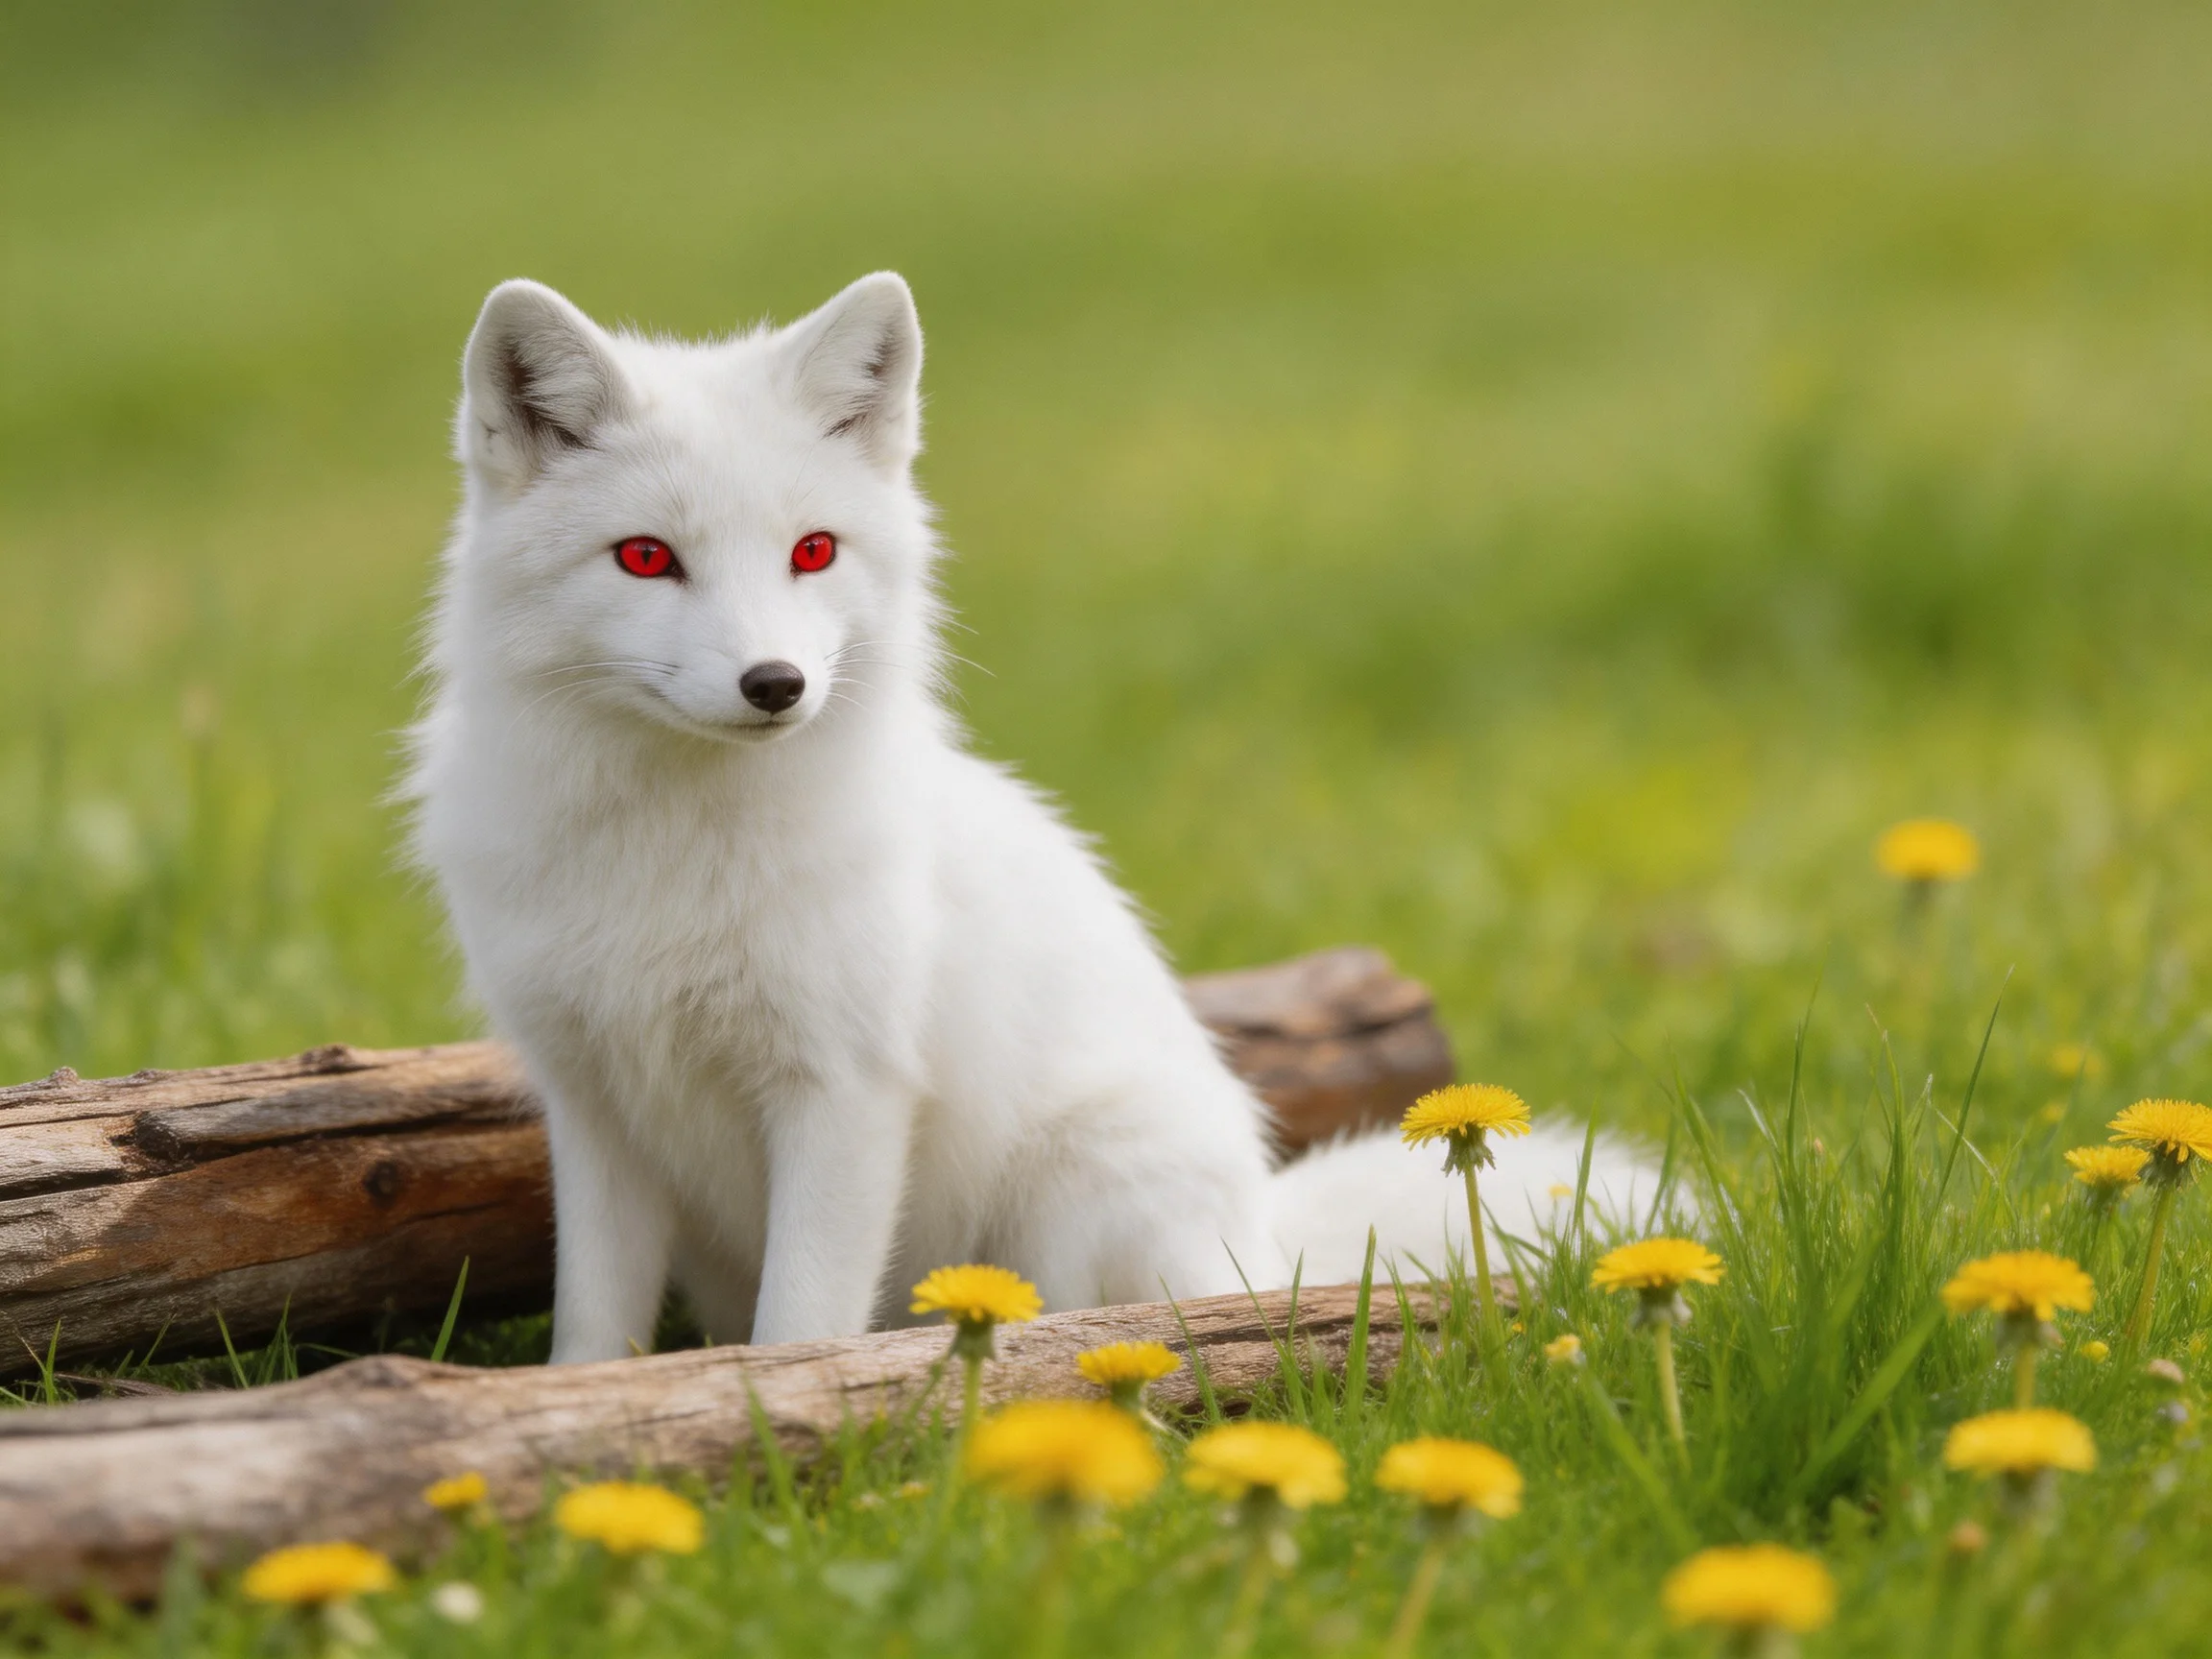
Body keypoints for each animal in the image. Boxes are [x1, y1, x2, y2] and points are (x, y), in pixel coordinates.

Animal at [406, 272, 1654, 1363]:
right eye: (645, 558)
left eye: (813, 550)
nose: (775, 685)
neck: (667, 857)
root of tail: (1264, 1240)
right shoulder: (591, 1106)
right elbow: (589, 1333)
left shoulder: (845, 1089)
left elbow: (800, 1325)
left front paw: (782, 1406)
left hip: (1072, 1201)